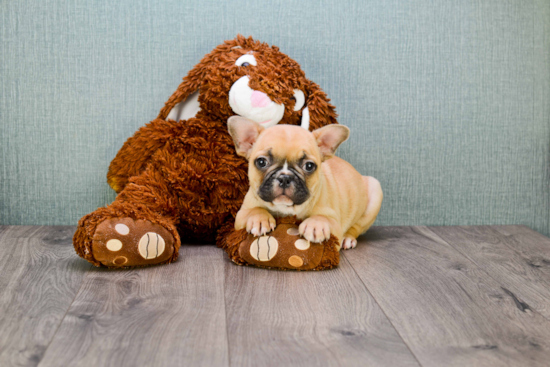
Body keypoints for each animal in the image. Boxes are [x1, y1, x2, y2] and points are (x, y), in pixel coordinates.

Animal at [229, 116, 384, 252]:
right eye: (261, 162)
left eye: (309, 166)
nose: (285, 178)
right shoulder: (241, 214)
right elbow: (254, 210)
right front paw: (259, 219)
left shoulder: (335, 223)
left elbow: (323, 217)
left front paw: (315, 225)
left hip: (375, 190)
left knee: (356, 227)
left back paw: (348, 238)